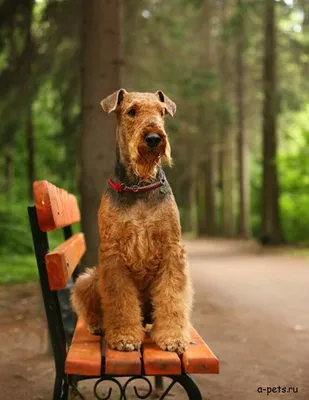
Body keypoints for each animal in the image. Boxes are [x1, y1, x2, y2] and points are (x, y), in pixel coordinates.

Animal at [72, 90, 192, 354]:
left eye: (161, 111)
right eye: (132, 111)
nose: (154, 138)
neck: (140, 184)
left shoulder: (171, 249)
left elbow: (172, 298)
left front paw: (173, 337)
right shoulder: (113, 253)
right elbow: (120, 301)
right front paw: (125, 337)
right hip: (89, 279)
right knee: (91, 306)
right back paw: (99, 325)